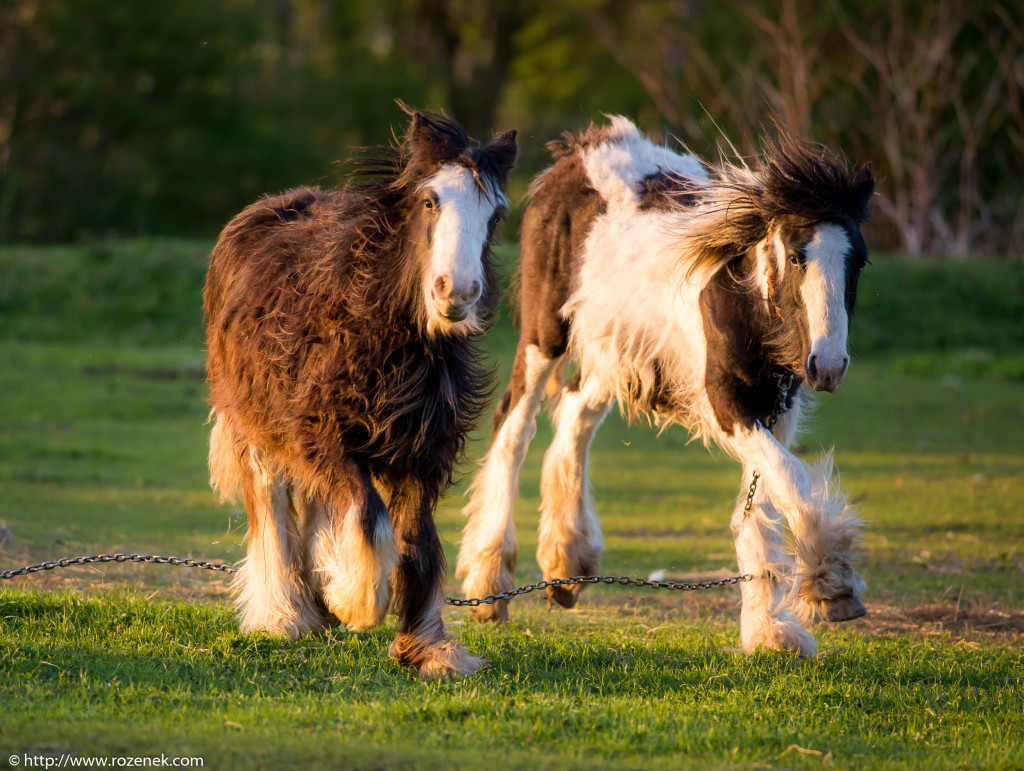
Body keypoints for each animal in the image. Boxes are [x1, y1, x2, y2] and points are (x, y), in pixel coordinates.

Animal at [202, 109, 516, 671]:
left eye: (496, 214)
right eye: (430, 200)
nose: (456, 293)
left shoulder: (423, 450)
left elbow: (418, 543)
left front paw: (428, 647)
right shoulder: (323, 434)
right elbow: (370, 518)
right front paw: (359, 601)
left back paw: (316, 604)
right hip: (257, 427)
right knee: (272, 504)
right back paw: (285, 615)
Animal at [460, 115, 876, 655]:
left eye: (859, 261)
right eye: (795, 255)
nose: (827, 366)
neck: (745, 302)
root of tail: (584, 148)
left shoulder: (776, 408)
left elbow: (762, 502)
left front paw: (769, 631)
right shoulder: (727, 402)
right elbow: (793, 478)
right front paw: (832, 583)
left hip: (614, 350)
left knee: (574, 414)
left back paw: (567, 561)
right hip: (544, 335)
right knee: (513, 428)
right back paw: (489, 581)